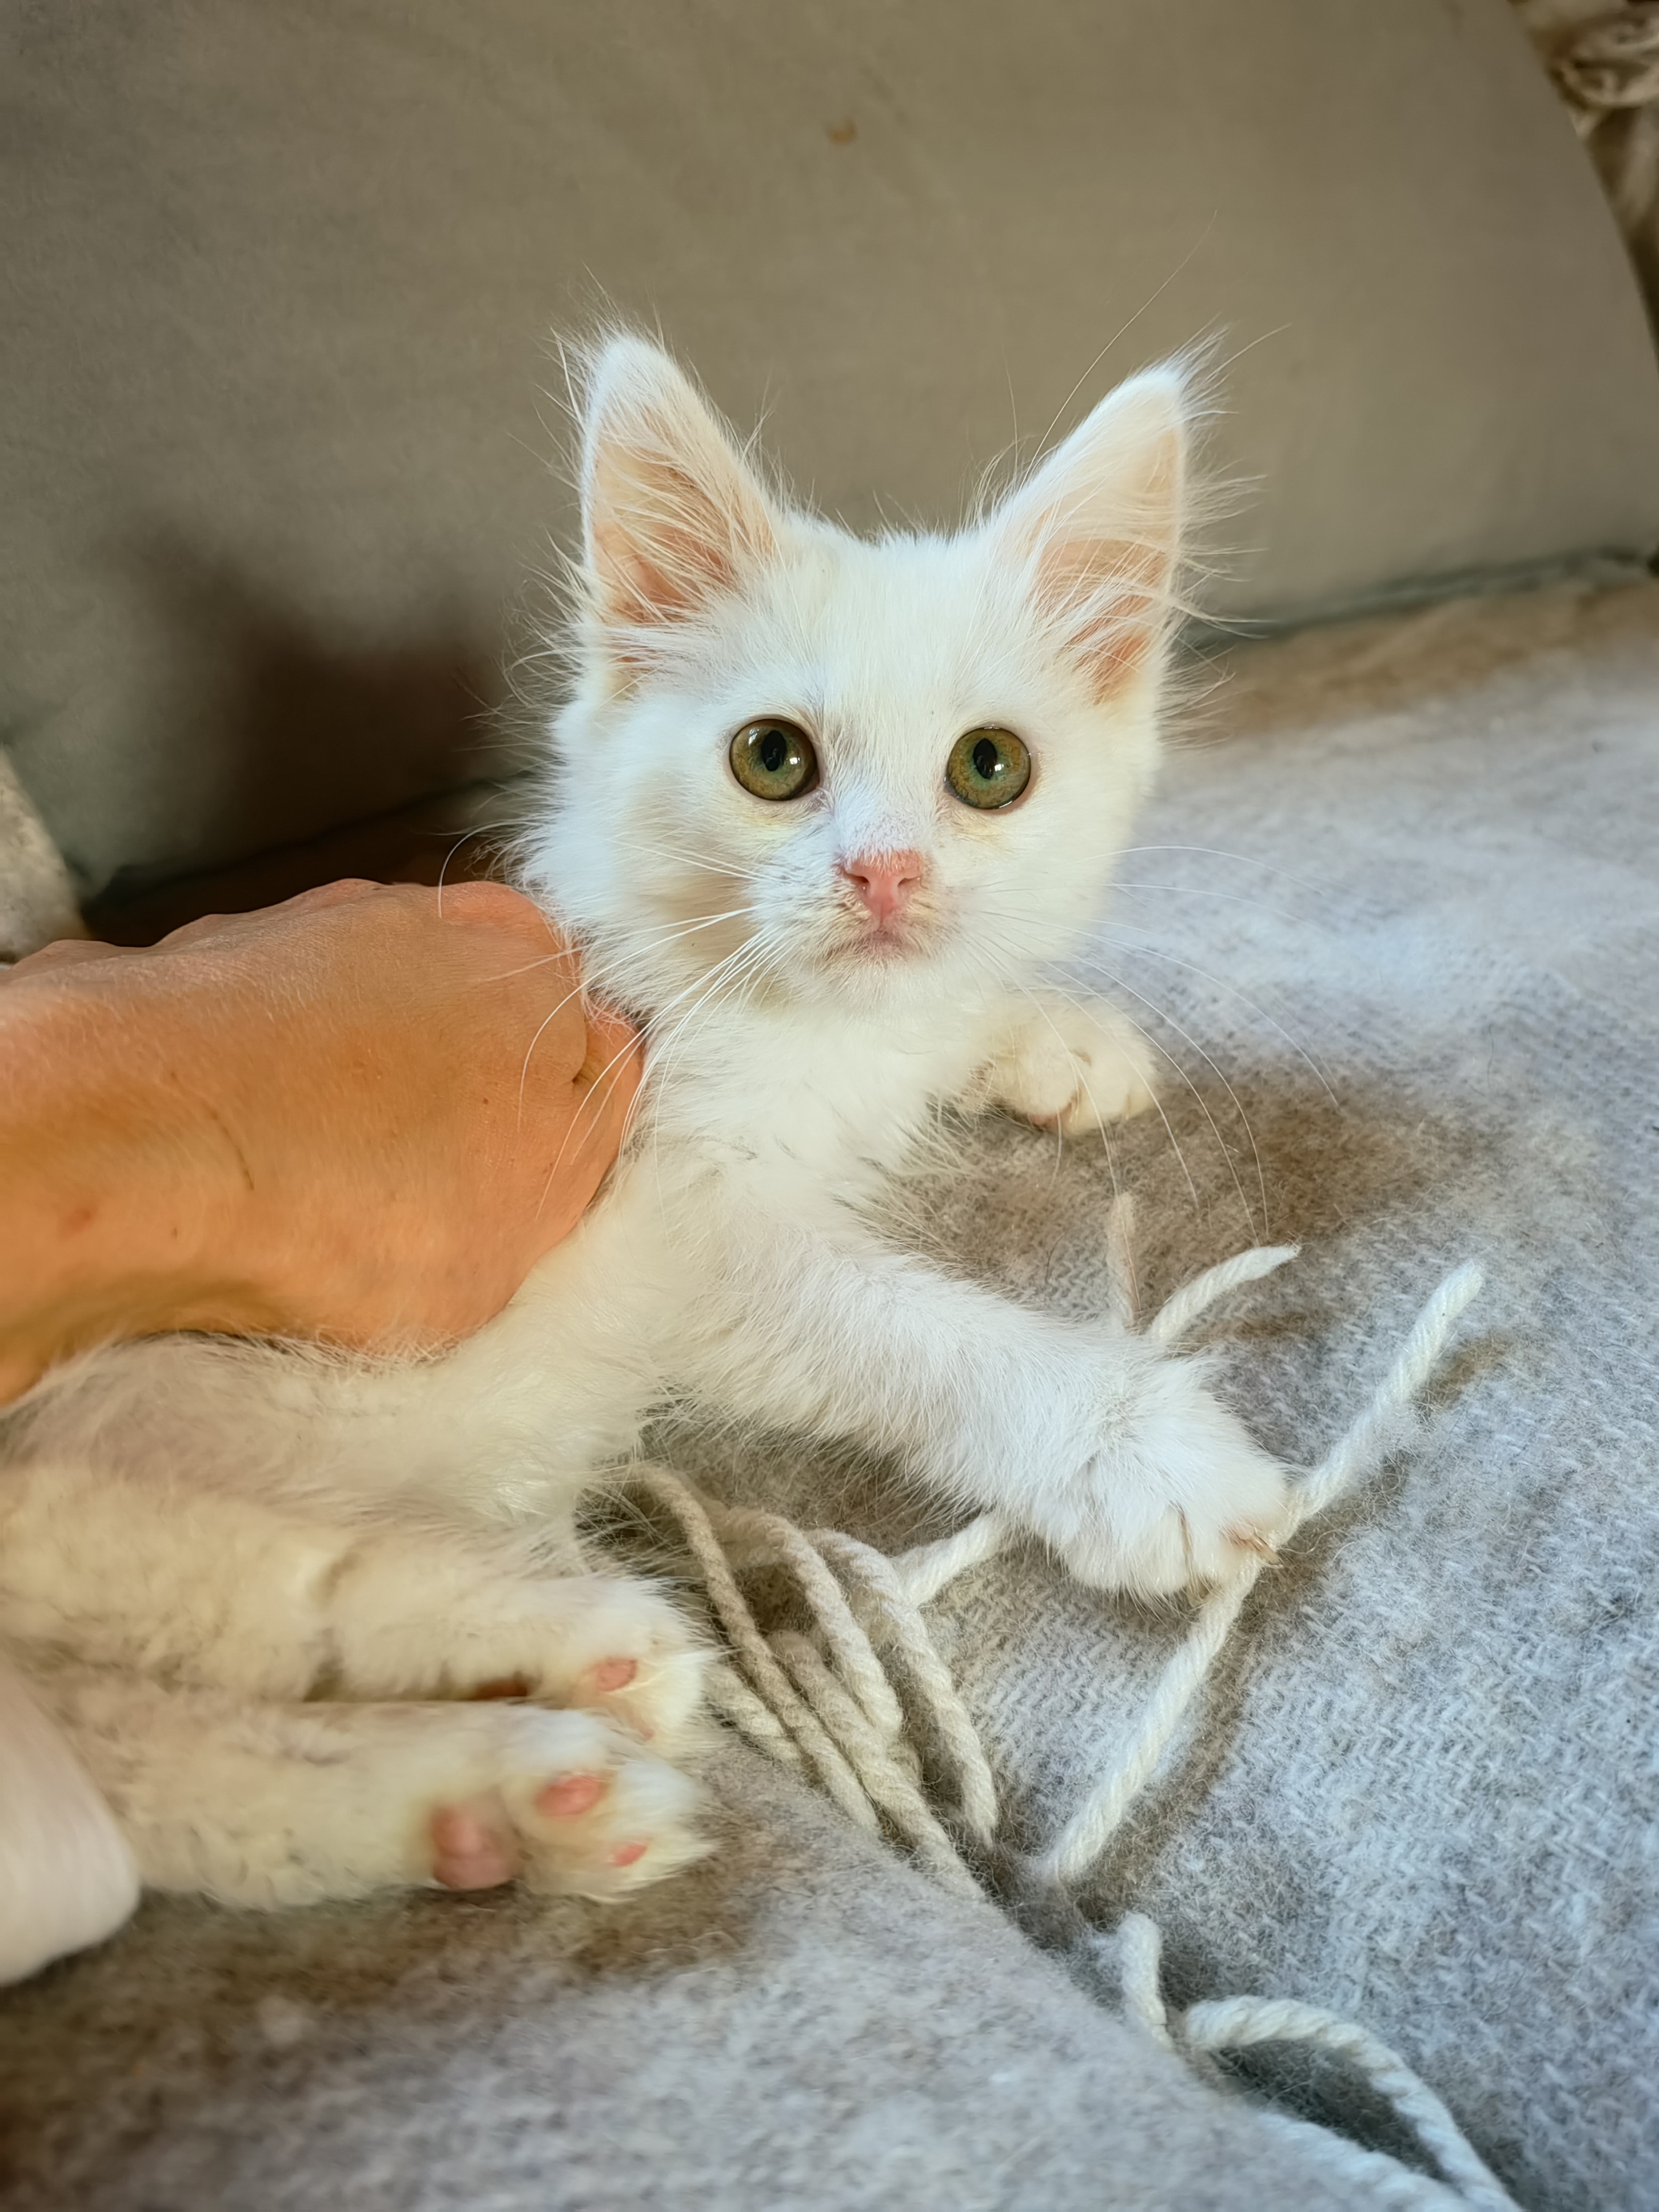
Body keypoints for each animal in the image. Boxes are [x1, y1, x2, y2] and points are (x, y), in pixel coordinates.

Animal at [0, 327, 1282, 1937]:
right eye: (772, 760)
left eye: (989, 767)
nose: (883, 874)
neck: (779, 1016)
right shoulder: (682, 1218)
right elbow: (916, 1330)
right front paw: (1135, 1445)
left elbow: (940, 1012)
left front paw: (1045, 1035)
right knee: (183, 1562)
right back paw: (553, 1638)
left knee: (136, 1763)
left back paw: (509, 1793)